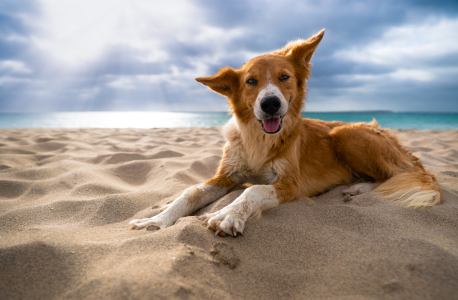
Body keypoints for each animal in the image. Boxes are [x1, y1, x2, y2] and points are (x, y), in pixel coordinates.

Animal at [128, 29, 440, 237]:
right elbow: (189, 192)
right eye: (251, 81)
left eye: (284, 77)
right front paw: (158, 219)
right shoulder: (226, 175)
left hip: (345, 134)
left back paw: (359, 188)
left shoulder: (290, 184)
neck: (259, 139)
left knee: (396, 175)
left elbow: (253, 189)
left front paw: (228, 214)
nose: (270, 104)